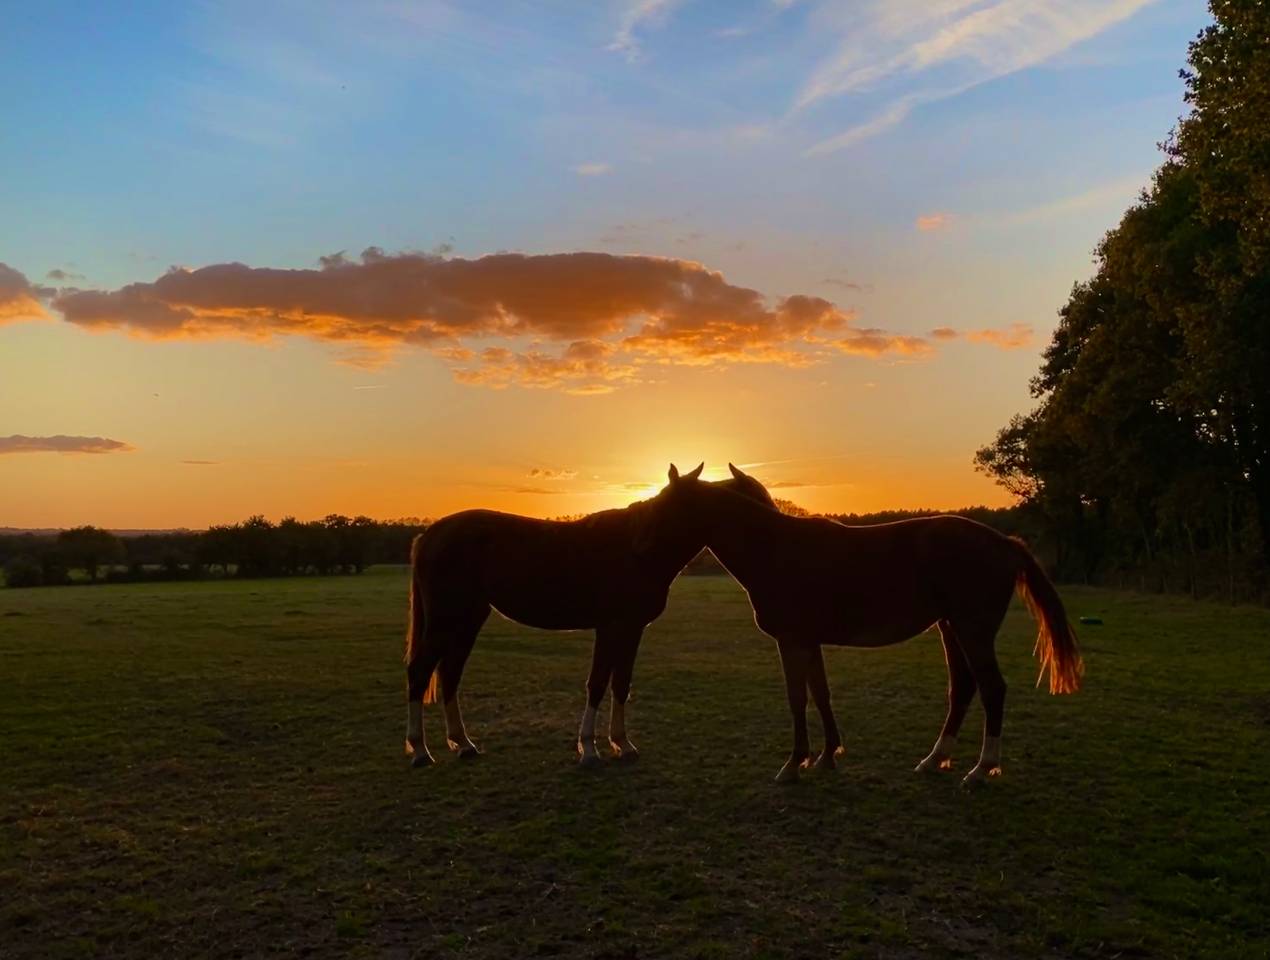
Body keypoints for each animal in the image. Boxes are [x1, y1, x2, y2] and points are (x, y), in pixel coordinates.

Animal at [403, 463, 777, 767]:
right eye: (756, 500)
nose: (643, 546)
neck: (634, 549)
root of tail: (430, 535)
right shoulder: (610, 628)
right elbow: (597, 683)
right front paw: (590, 749)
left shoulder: (631, 629)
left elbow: (620, 683)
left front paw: (622, 744)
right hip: (446, 621)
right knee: (420, 671)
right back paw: (420, 751)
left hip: (467, 620)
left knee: (449, 673)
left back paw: (463, 744)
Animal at [643, 463, 1084, 786]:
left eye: (666, 503)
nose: (644, 544)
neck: (775, 547)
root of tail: (1004, 542)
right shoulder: (809, 641)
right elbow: (821, 694)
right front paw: (826, 756)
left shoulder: (792, 641)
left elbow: (797, 698)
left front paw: (794, 764)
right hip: (951, 629)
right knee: (963, 688)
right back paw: (935, 759)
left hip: (972, 631)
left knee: (992, 689)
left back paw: (981, 769)